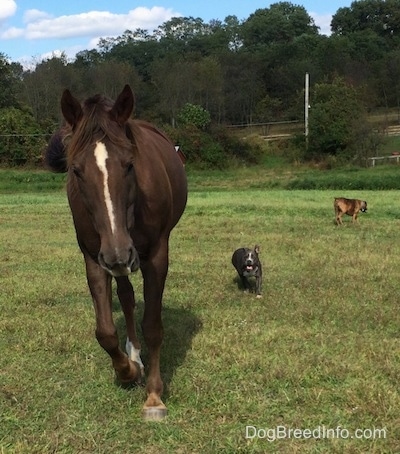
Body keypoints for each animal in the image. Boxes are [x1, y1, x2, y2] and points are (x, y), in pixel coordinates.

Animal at [44, 84, 188, 418]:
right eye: (76, 170)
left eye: (130, 164)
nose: (119, 254)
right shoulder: (94, 258)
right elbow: (106, 332)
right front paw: (128, 371)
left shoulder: (156, 256)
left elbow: (153, 326)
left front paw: (154, 395)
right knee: (126, 296)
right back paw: (133, 354)